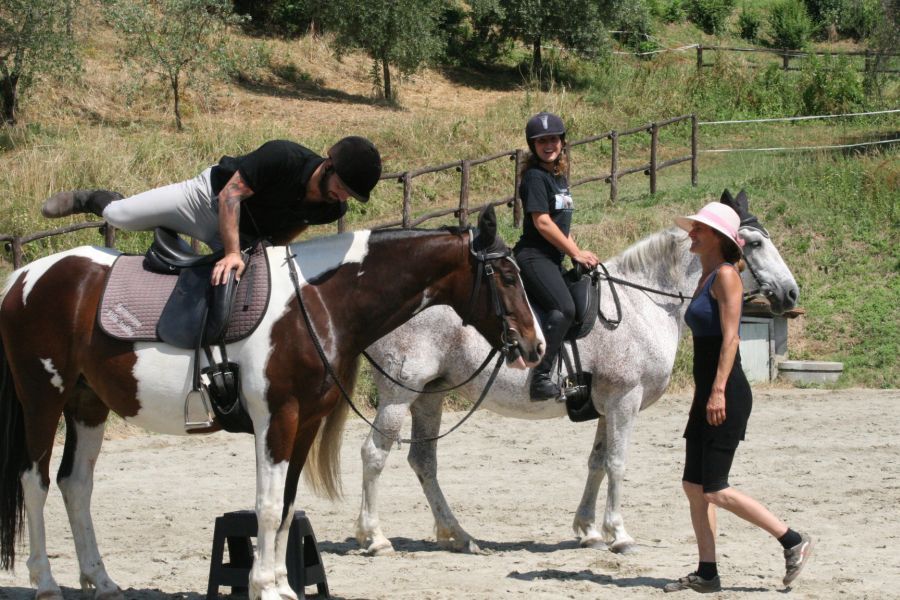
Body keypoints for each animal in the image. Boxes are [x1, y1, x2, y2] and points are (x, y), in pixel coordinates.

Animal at [1, 207, 540, 600]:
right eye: (506, 275)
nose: (535, 347)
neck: (317, 304)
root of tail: (24, 276)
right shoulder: (277, 422)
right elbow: (264, 504)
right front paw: (263, 585)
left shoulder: (305, 425)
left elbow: (286, 506)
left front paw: (282, 583)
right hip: (43, 398)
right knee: (35, 481)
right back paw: (45, 583)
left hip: (87, 405)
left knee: (76, 484)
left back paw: (102, 580)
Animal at [356, 190, 800, 556]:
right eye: (755, 242)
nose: (792, 293)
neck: (642, 303)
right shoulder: (624, 400)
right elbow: (618, 463)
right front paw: (619, 534)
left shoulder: (607, 405)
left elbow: (597, 462)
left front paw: (588, 531)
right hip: (400, 393)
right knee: (375, 454)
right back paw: (374, 537)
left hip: (429, 395)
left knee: (423, 461)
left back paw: (458, 535)